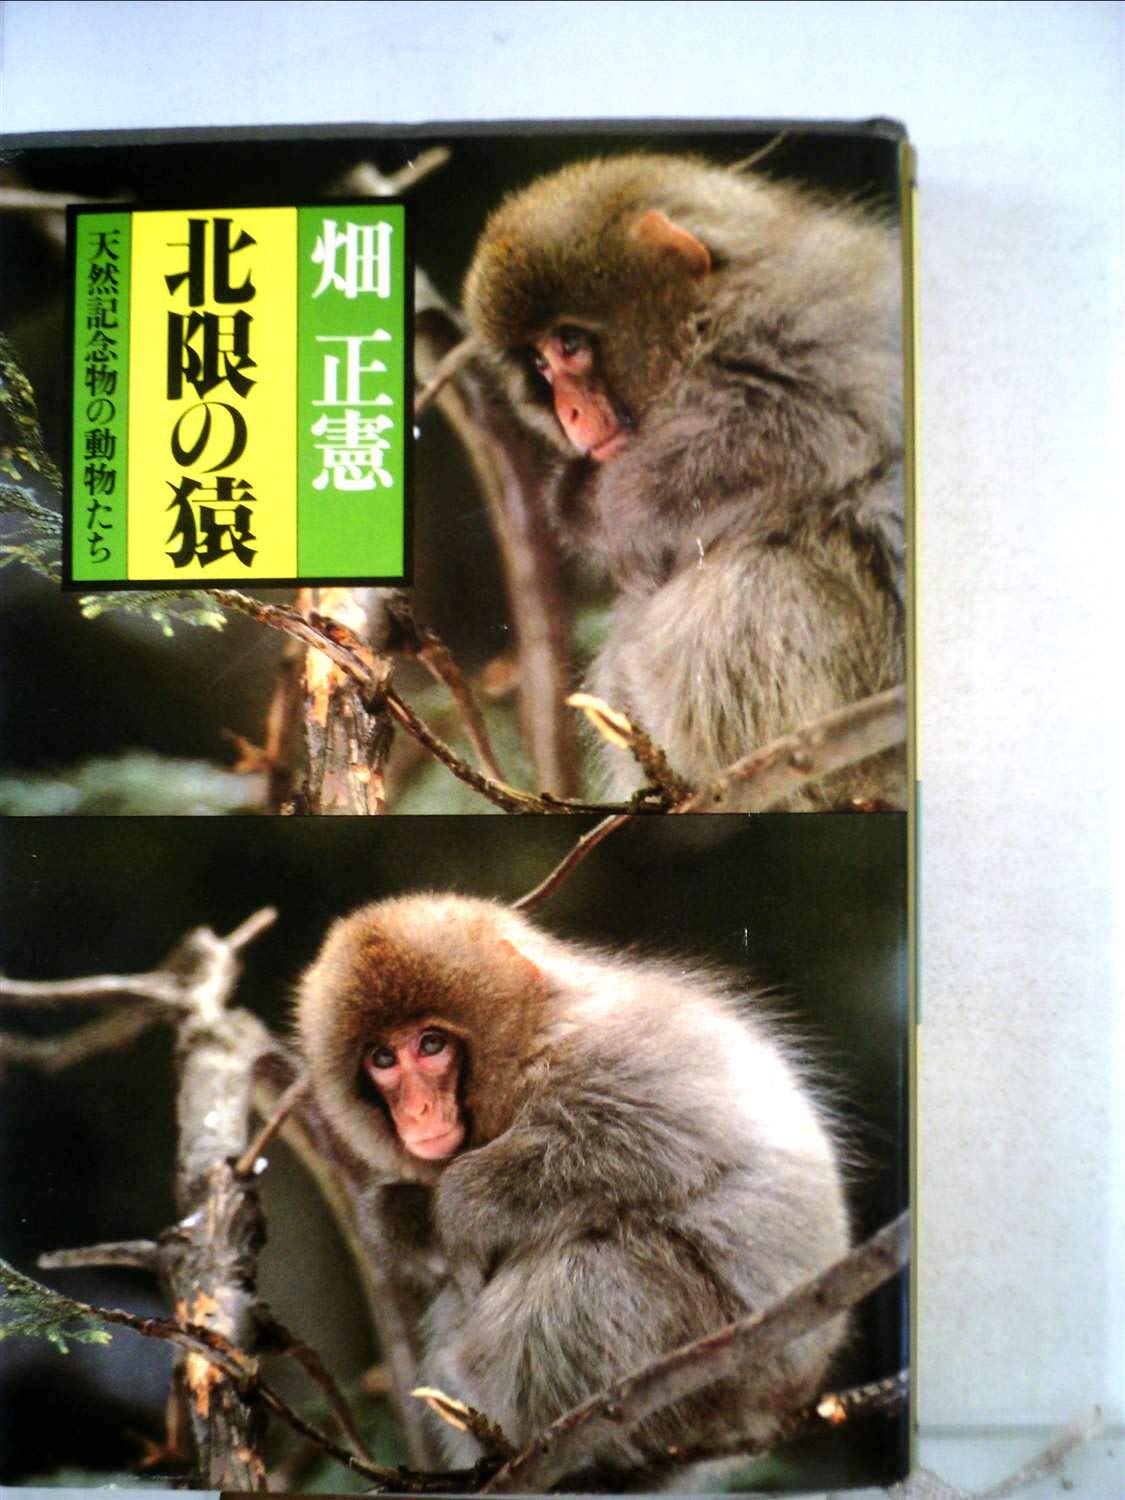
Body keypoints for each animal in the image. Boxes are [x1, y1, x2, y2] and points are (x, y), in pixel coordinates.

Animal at [295, 892, 851, 1477]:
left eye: (430, 1044)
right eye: (383, 1058)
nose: (418, 1111)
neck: (529, 1046)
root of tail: (780, 1402)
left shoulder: (603, 1052)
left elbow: (658, 1137)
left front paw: (460, 1203)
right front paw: (401, 1215)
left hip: (719, 1366)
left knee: (592, 1265)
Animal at [462, 153, 906, 809]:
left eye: (569, 343)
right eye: (540, 364)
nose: (569, 414)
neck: (711, 317)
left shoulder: (793, 327)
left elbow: (813, 427)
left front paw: (592, 500)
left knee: (763, 576)